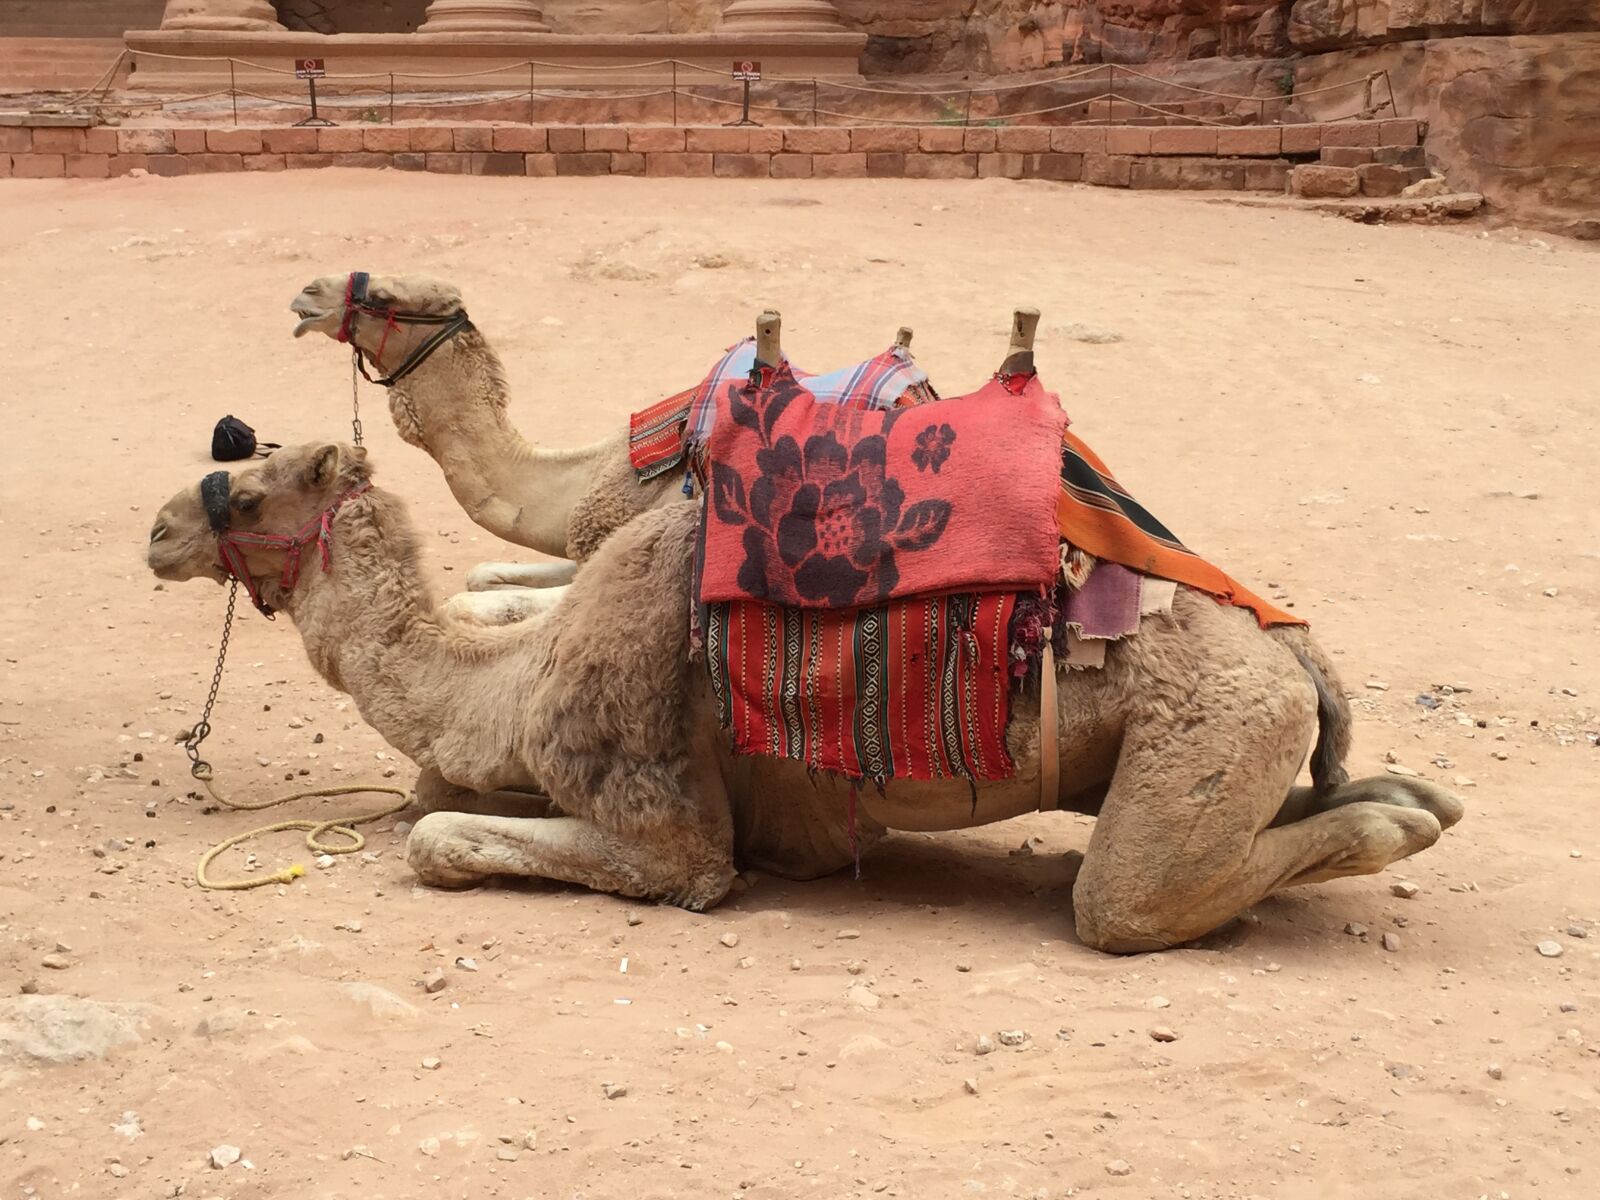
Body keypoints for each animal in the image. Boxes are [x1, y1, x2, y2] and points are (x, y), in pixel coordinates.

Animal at [146, 442, 1464, 952]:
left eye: (249, 488)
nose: (158, 530)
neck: (503, 681)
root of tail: (1293, 652)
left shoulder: (667, 825)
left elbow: (437, 836)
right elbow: (428, 797)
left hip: (1207, 729)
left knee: (1124, 902)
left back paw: (1399, 825)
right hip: (1247, 727)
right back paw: (1416, 797)